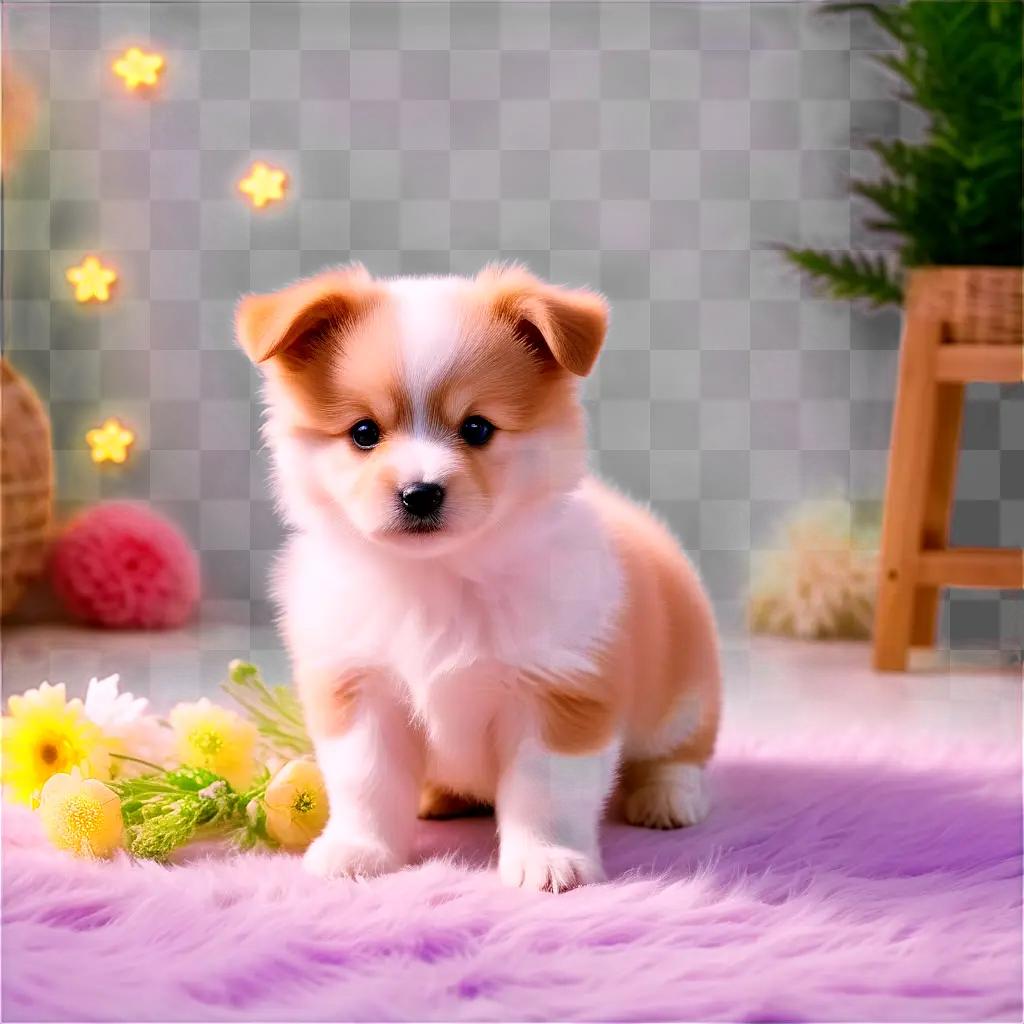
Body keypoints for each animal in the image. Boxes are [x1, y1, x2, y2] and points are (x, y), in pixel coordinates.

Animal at [237, 268, 720, 892]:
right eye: (364, 432)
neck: (437, 577)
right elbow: (366, 784)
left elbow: (546, 793)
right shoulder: (359, 689)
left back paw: (669, 796)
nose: (419, 492)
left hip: (683, 696)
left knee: (677, 753)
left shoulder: (559, 692)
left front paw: (547, 859)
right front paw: (358, 850)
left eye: (477, 428)